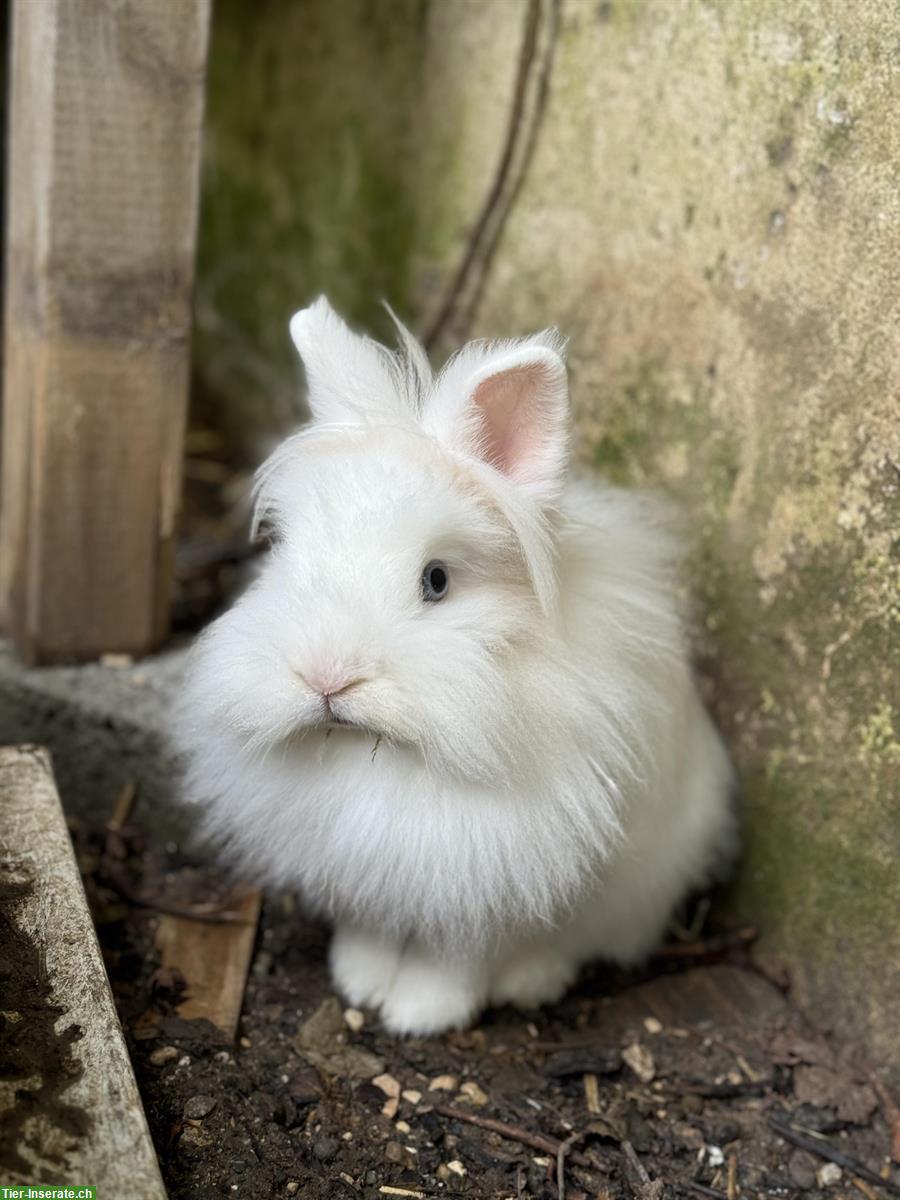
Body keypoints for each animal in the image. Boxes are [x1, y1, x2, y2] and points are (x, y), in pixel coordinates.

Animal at [176, 297, 739, 1032]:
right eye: (288, 554)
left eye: (437, 581)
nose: (327, 675)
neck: (383, 754)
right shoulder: (368, 873)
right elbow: (373, 928)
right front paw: (359, 982)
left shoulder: (489, 885)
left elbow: (456, 957)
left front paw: (420, 1015)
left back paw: (534, 981)